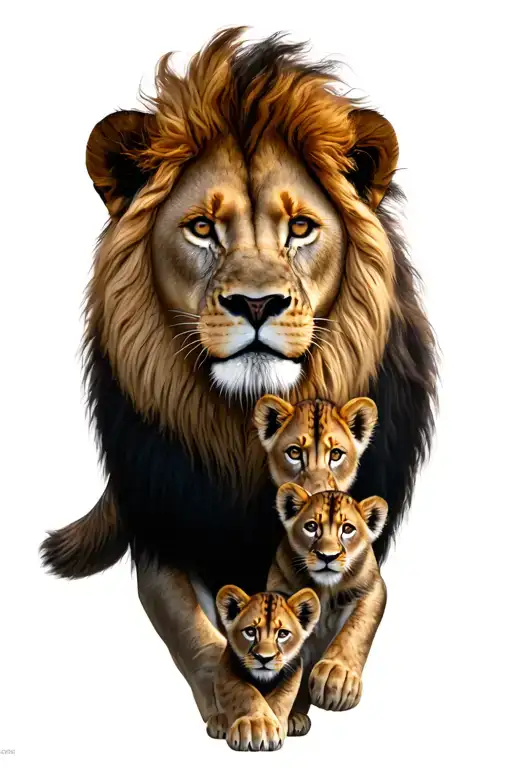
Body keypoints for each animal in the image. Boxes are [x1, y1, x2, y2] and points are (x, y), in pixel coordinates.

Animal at [40, 28, 437, 724]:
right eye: (202, 227)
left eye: (300, 227)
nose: (257, 304)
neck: (246, 425)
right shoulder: (164, 538)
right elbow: (201, 640)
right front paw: (250, 710)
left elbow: (355, 609)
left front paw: (317, 682)